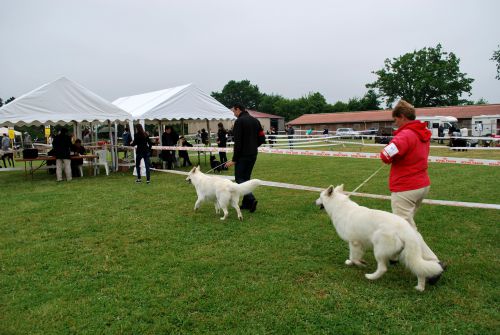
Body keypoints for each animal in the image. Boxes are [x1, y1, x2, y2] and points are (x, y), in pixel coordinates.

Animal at [314, 184, 444, 292]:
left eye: (319, 196)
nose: (314, 202)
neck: (339, 206)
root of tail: (406, 230)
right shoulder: (359, 244)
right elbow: (355, 256)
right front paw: (355, 262)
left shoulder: (354, 242)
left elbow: (353, 256)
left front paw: (358, 264)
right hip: (410, 254)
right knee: (420, 270)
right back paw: (420, 287)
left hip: (378, 248)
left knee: (382, 269)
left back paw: (371, 277)